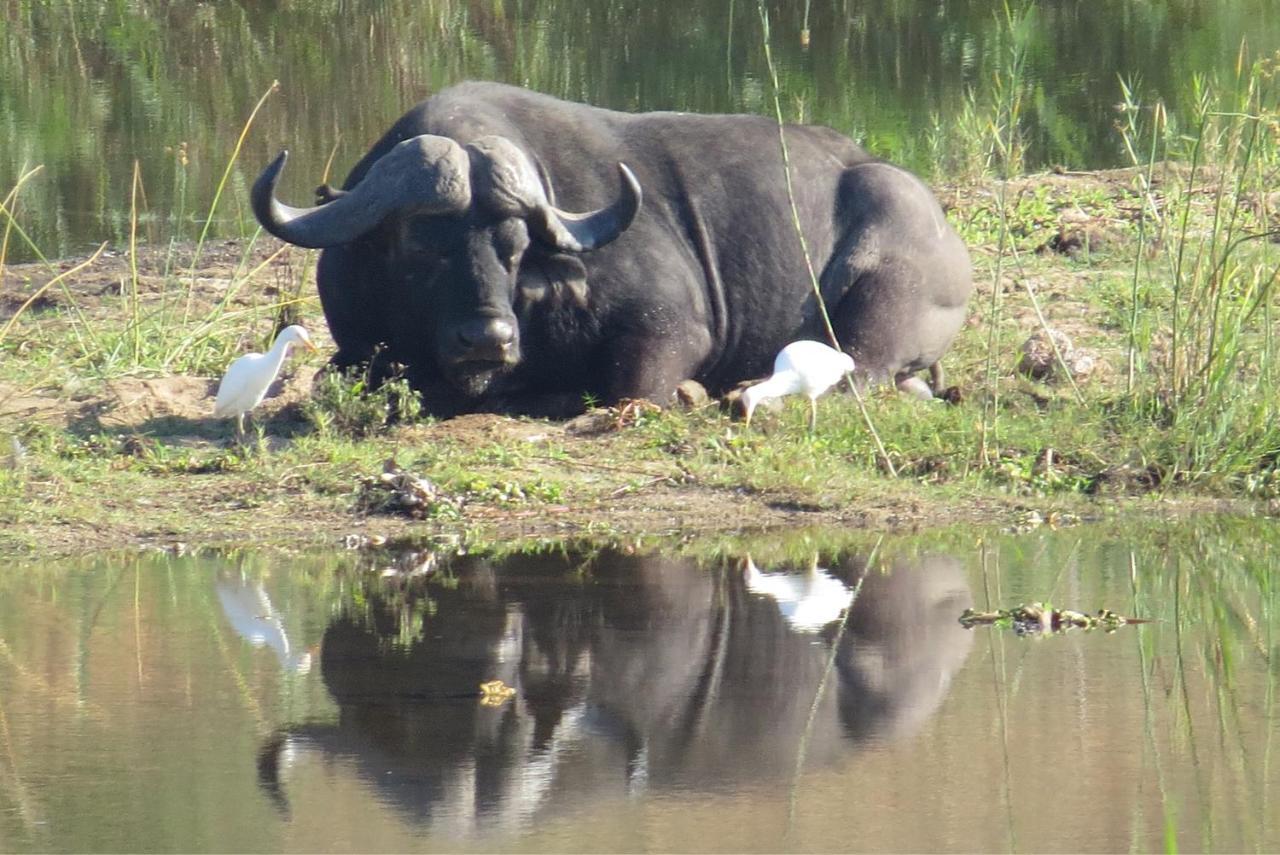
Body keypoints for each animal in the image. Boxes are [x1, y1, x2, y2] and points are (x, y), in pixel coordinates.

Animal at [249, 81, 967, 414]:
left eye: (514, 246)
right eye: (421, 248)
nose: (487, 338)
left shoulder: (671, 328)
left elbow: (633, 384)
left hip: (878, 309)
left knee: (861, 373)